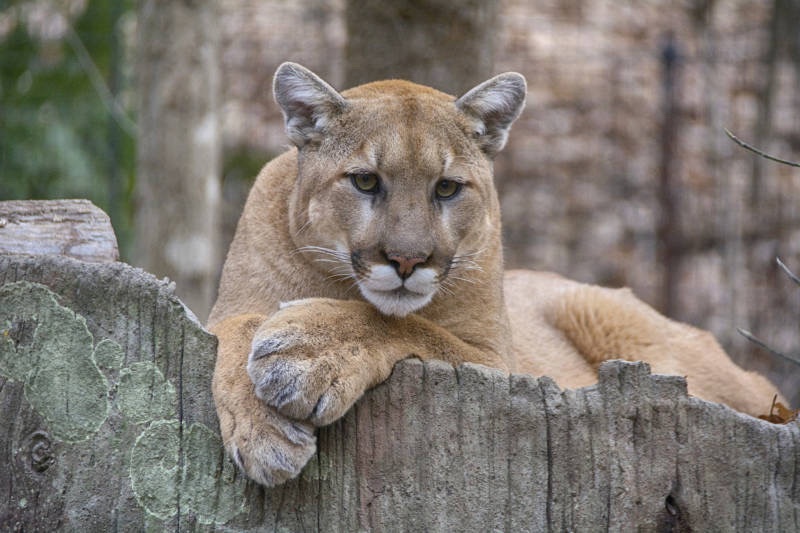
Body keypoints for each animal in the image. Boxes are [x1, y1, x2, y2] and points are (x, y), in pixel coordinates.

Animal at [208, 62, 781, 487]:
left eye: (446, 188)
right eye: (365, 181)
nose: (408, 261)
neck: (338, 285)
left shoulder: (499, 363)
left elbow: (412, 328)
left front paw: (307, 351)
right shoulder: (223, 314)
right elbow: (236, 330)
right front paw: (264, 433)